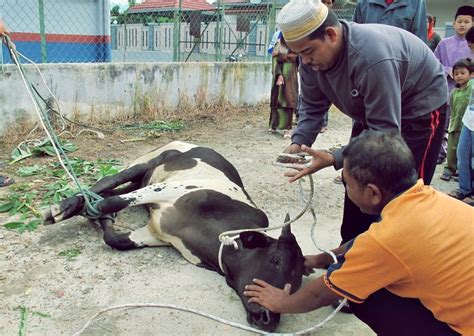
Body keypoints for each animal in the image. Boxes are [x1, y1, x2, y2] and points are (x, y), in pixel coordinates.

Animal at [42, 140, 306, 332]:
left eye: (297, 281)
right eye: (275, 260)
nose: (269, 318)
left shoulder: (155, 233)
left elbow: (115, 238)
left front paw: (103, 220)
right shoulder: (169, 190)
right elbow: (110, 203)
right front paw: (89, 211)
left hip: (143, 178)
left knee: (112, 189)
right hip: (148, 163)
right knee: (109, 182)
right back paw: (65, 207)